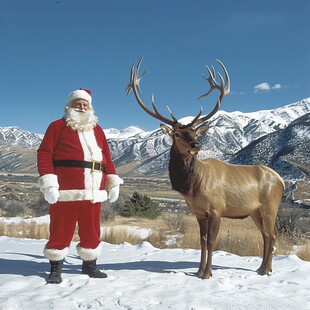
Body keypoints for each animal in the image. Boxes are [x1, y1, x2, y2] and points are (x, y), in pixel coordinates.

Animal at [124, 57, 284, 278]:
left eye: (195, 132)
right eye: (177, 134)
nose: (196, 145)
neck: (192, 186)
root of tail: (281, 180)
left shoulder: (216, 209)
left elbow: (211, 241)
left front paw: (207, 273)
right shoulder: (199, 213)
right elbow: (201, 241)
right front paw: (198, 271)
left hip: (271, 206)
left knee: (273, 234)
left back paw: (266, 269)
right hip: (255, 211)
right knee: (266, 234)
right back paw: (261, 268)